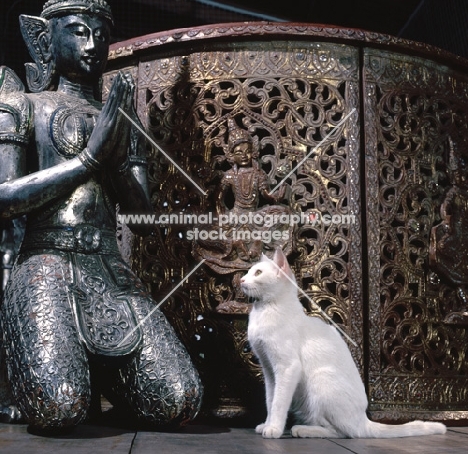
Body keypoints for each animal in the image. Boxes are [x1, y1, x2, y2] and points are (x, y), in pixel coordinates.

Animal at [241, 248, 446, 440]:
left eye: (257, 272)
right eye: (249, 271)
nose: (241, 280)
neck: (264, 310)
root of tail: (363, 419)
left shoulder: (288, 367)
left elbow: (279, 402)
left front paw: (274, 429)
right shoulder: (269, 370)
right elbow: (270, 400)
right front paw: (267, 424)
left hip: (320, 380)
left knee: (344, 432)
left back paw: (301, 429)